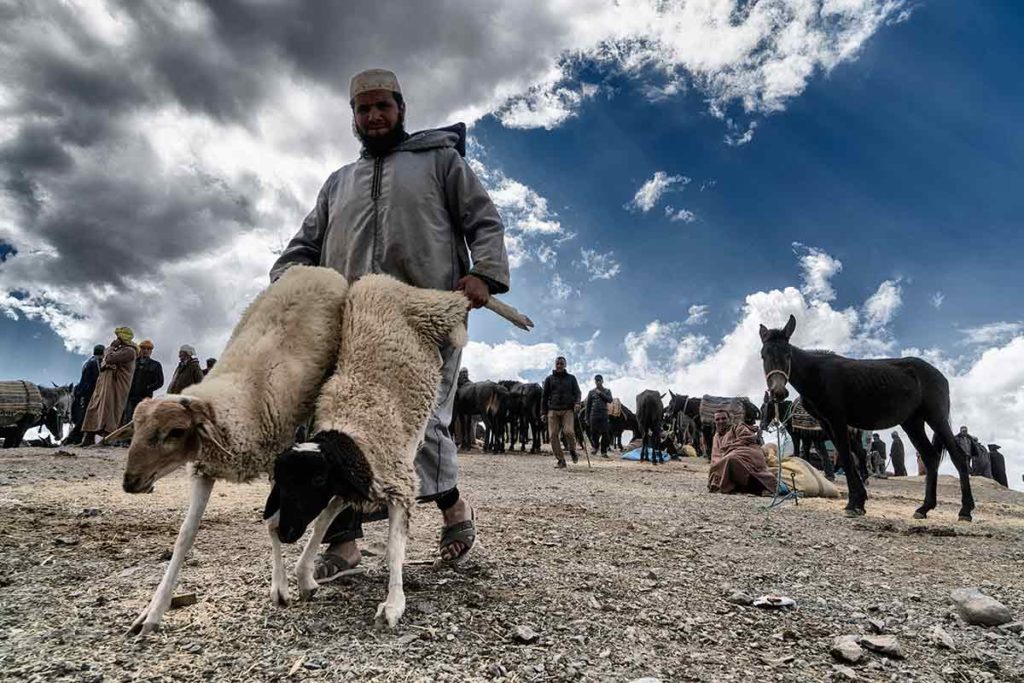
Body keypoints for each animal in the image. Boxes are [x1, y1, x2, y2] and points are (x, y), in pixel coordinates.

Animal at [107, 266, 348, 634]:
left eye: (175, 432)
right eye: (137, 429)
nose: (129, 482)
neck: (234, 400)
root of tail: (318, 268)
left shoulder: (278, 463)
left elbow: (274, 523)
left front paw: (280, 588)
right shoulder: (203, 471)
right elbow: (184, 538)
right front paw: (153, 611)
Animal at [264, 274, 471, 626]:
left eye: (316, 480)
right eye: (281, 481)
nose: (289, 532)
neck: (347, 436)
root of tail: (377, 278)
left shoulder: (398, 485)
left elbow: (393, 549)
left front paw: (393, 604)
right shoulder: (349, 485)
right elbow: (320, 523)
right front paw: (298, 579)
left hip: (430, 307)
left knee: (459, 303)